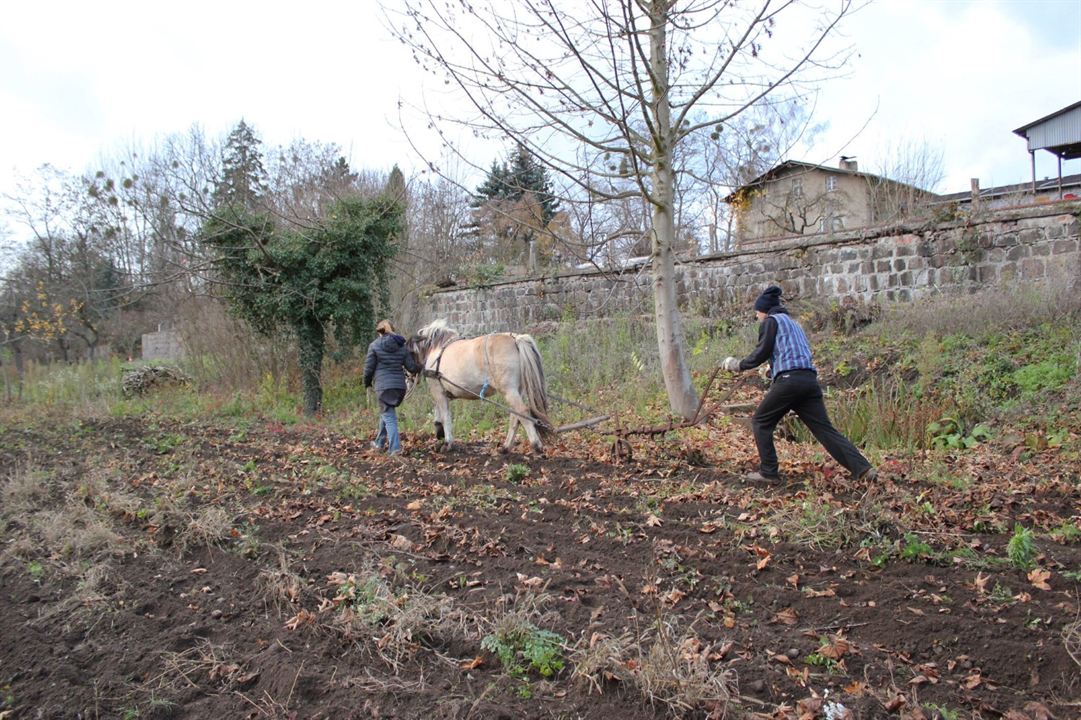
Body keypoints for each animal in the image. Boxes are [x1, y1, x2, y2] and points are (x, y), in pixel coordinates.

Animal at [406, 317, 557, 451]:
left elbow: (446, 416)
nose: (408, 381)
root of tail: (515, 339)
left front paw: (447, 443)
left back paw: (536, 445)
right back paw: (506, 447)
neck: (436, 350)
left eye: (410, 352)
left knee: (522, 412)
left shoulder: (438, 391)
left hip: (508, 390)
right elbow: (439, 412)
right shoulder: (444, 393)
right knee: (515, 416)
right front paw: (439, 431)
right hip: (517, 390)